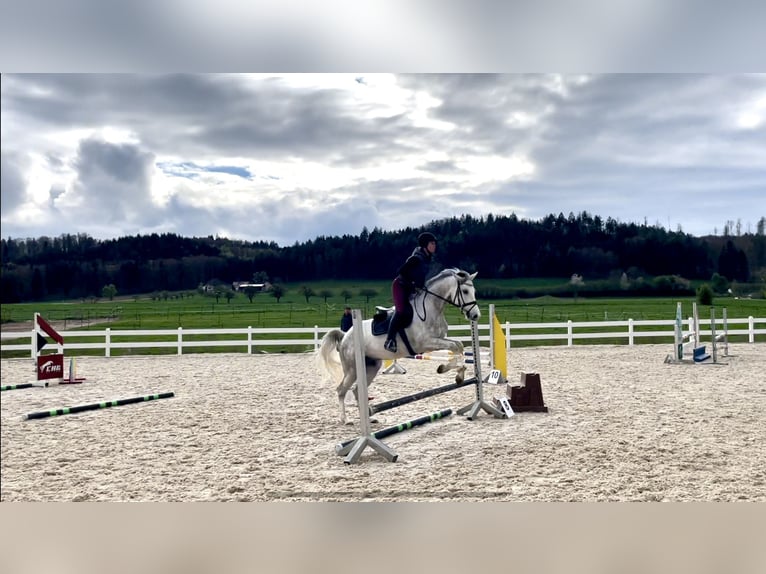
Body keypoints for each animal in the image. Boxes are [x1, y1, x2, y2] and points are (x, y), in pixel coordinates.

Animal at [317, 268, 480, 424]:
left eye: (474, 291)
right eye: (465, 291)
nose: (475, 316)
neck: (431, 309)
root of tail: (345, 336)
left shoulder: (439, 339)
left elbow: (458, 345)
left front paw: (456, 372)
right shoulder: (426, 343)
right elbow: (455, 347)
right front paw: (449, 371)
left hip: (371, 367)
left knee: (357, 390)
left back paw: (369, 418)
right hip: (352, 369)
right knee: (341, 390)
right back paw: (345, 420)